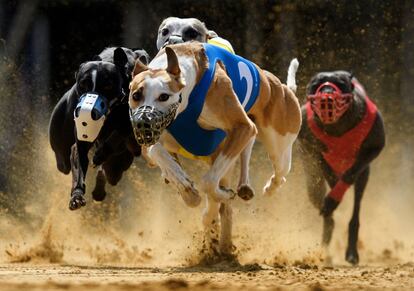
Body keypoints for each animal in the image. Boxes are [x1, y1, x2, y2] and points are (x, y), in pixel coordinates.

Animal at [298, 71, 384, 266]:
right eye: (315, 84)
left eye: (341, 83)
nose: (327, 95)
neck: (337, 127)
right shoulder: (312, 148)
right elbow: (327, 170)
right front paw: (332, 197)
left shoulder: (373, 149)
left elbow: (350, 173)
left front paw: (334, 197)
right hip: (312, 184)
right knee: (326, 213)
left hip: (364, 178)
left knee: (356, 209)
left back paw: (351, 252)